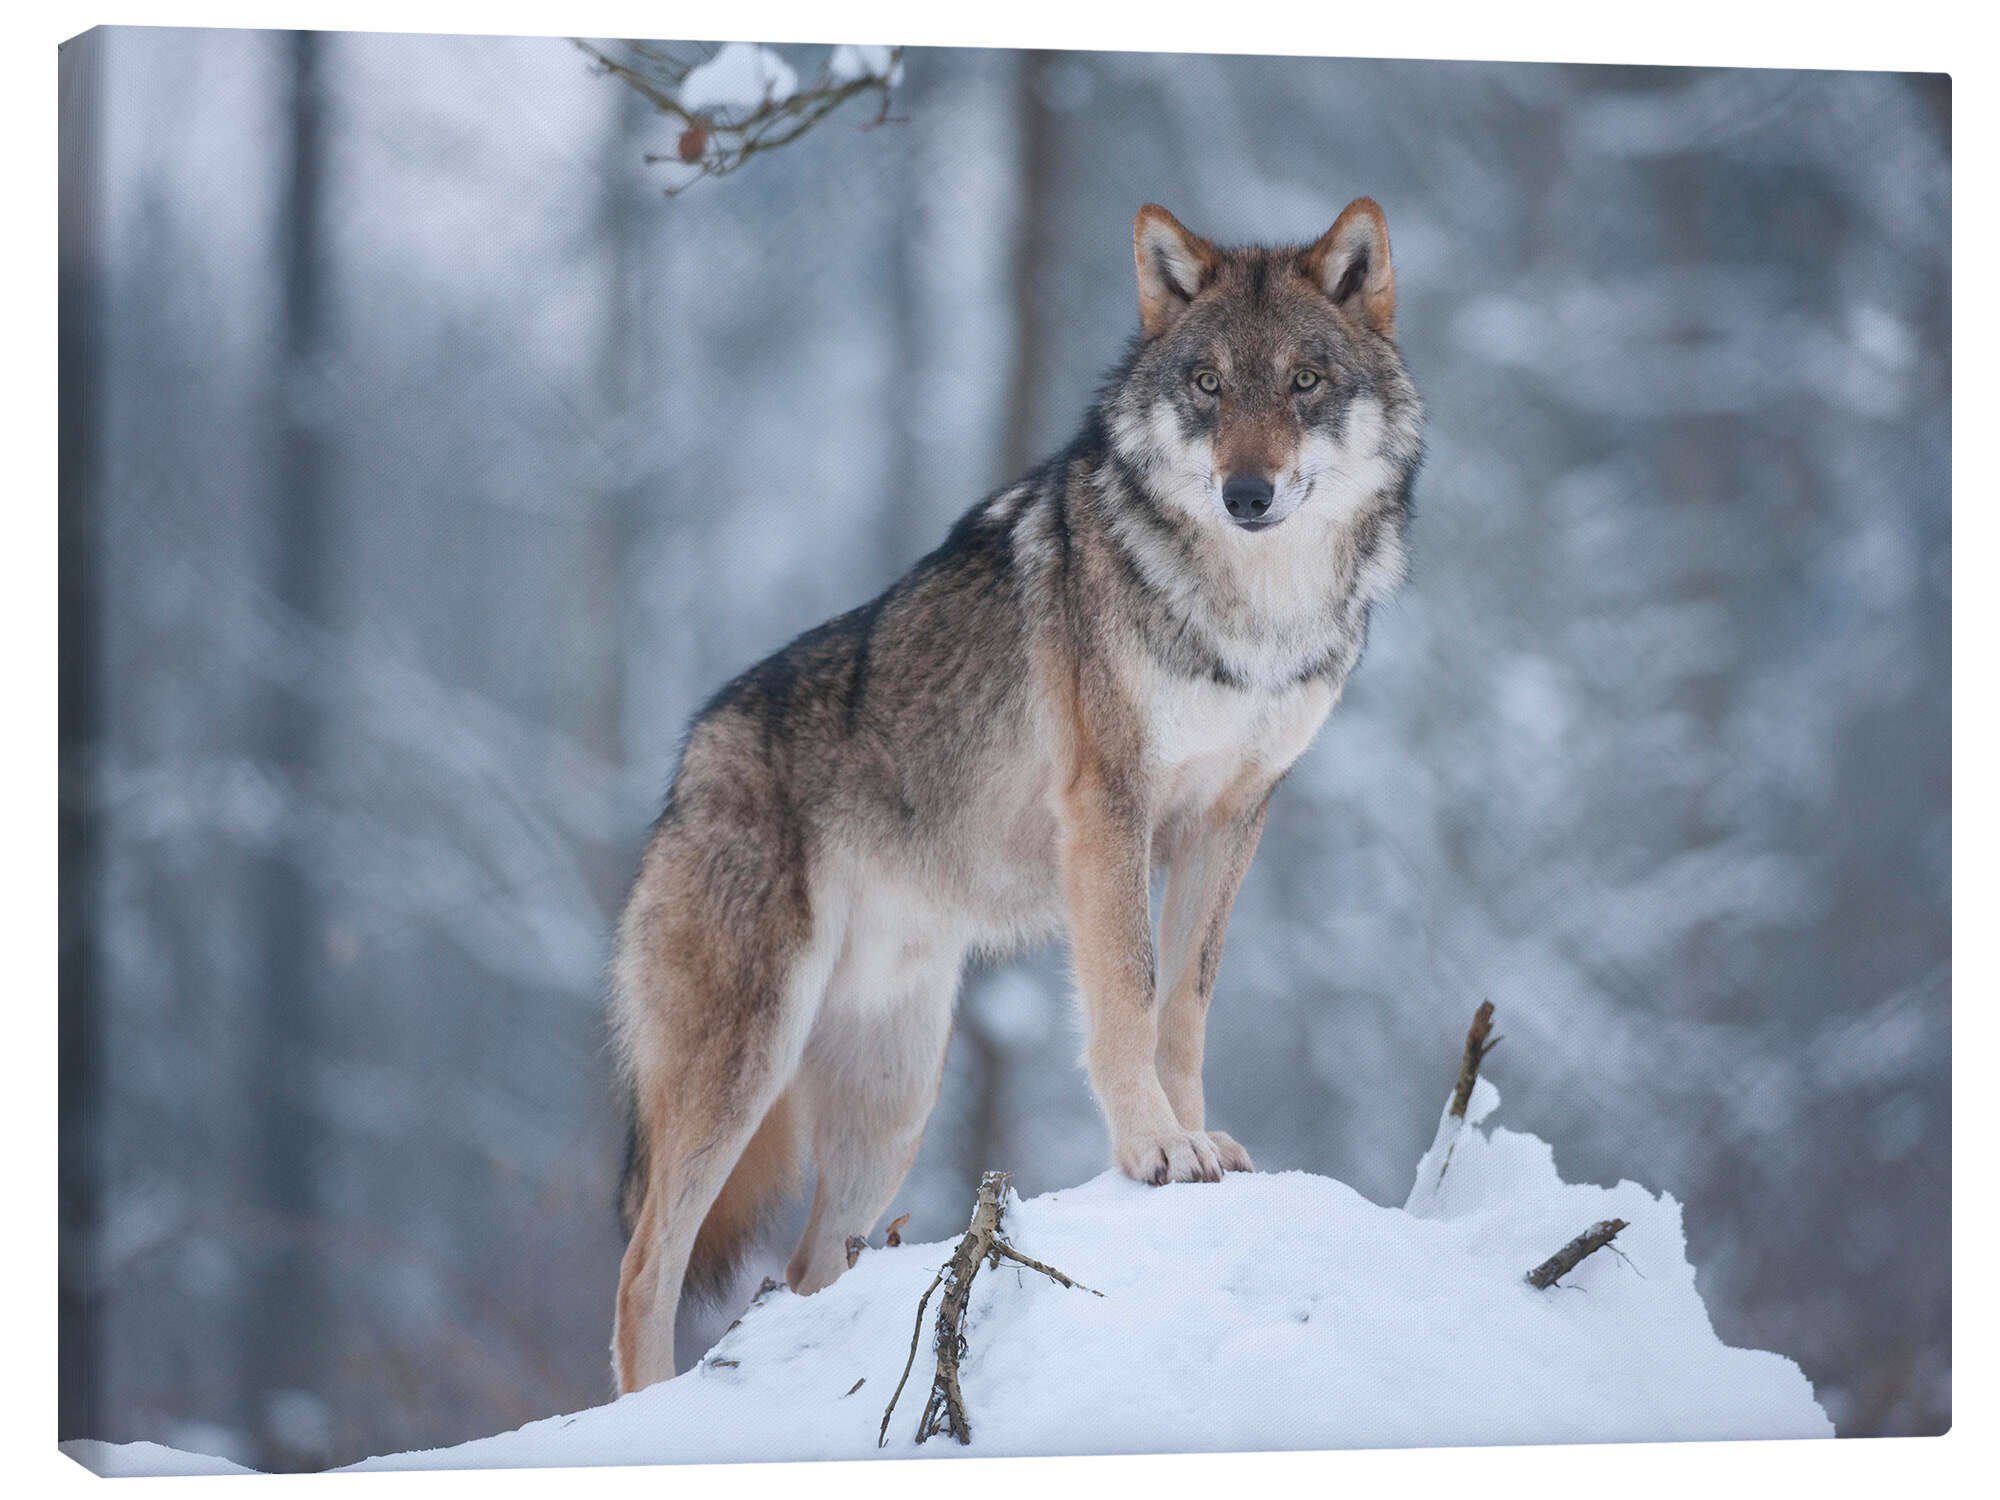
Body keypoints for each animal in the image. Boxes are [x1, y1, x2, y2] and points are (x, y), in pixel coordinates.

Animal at [610, 198, 1423, 1391]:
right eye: (1208, 385)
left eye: (1304, 382)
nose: (1247, 493)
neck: (1251, 618)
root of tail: (687, 759)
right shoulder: (1109, 806)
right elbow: (1127, 991)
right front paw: (1152, 1149)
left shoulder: (1230, 820)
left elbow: (1184, 1004)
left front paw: (1199, 1140)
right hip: (743, 1065)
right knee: (641, 1270)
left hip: (894, 1107)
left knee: (804, 1269)